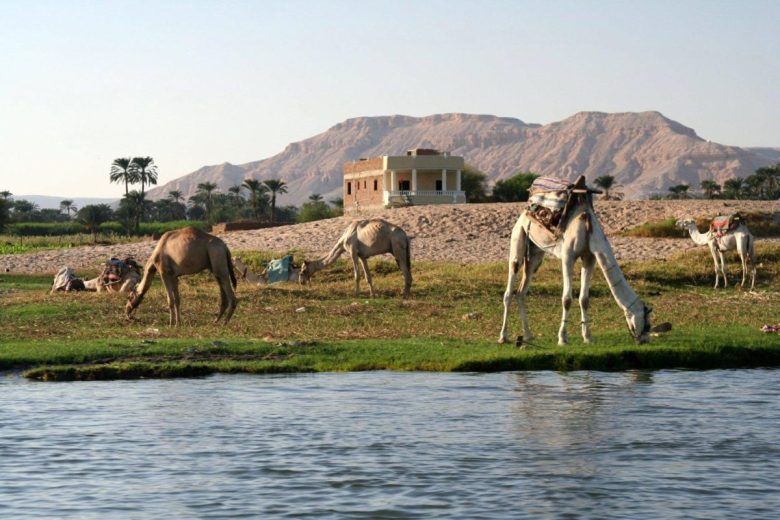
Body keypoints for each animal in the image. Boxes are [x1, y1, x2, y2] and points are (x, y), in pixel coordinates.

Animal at [499, 175, 652, 346]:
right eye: (647, 324)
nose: (645, 339)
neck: (588, 229)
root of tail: (526, 209)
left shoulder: (590, 258)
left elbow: (584, 299)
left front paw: (588, 337)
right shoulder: (568, 257)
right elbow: (567, 299)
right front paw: (562, 338)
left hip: (535, 253)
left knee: (521, 291)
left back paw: (528, 335)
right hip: (518, 236)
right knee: (510, 284)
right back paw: (503, 336)